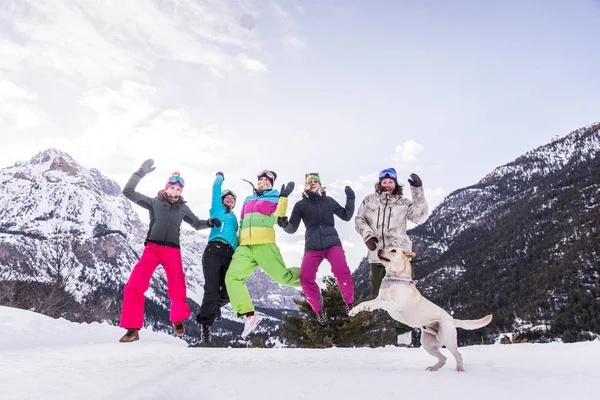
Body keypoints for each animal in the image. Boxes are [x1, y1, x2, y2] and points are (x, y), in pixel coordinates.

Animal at [346, 247, 492, 372]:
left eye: (393, 250)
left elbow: (381, 303)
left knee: (458, 355)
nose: (379, 249)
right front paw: (355, 310)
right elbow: (368, 301)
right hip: (428, 344)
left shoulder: (395, 305)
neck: (395, 279)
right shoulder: (380, 298)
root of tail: (452, 319)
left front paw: (368, 307)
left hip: (447, 339)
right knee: (444, 358)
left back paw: (459, 369)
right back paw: (433, 368)